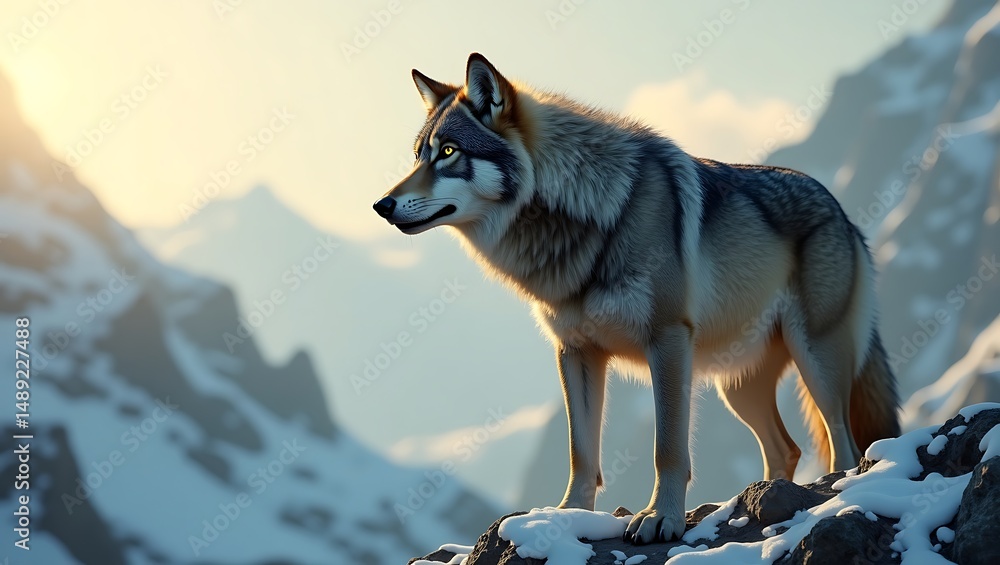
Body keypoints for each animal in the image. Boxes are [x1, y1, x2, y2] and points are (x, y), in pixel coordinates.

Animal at [373, 53, 900, 544]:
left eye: (448, 152)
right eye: (418, 155)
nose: (381, 205)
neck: (587, 220)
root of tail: (843, 213)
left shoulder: (666, 341)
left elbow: (667, 448)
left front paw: (661, 519)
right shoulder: (575, 352)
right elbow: (581, 453)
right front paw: (565, 518)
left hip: (816, 363)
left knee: (844, 445)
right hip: (735, 386)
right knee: (785, 449)